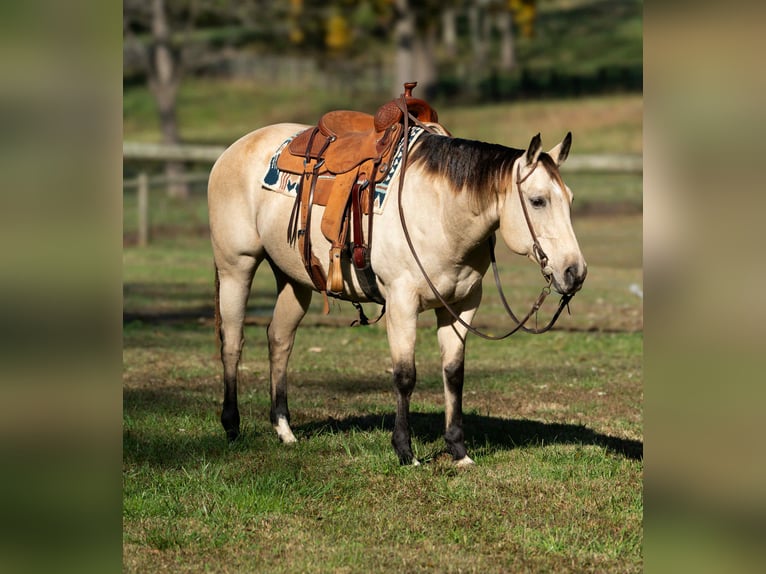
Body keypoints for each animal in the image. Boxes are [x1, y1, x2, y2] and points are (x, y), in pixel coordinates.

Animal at [207, 121, 587, 466]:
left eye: (570, 200)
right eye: (537, 201)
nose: (575, 272)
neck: (441, 213)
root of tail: (231, 151)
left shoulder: (461, 306)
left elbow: (454, 373)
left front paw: (458, 450)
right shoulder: (401, 303)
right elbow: (405, 376)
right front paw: (405, 451)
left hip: (294, 279)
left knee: (280, 339)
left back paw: (284, 430)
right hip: (236, 267)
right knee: (233, 341)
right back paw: (231, 427)